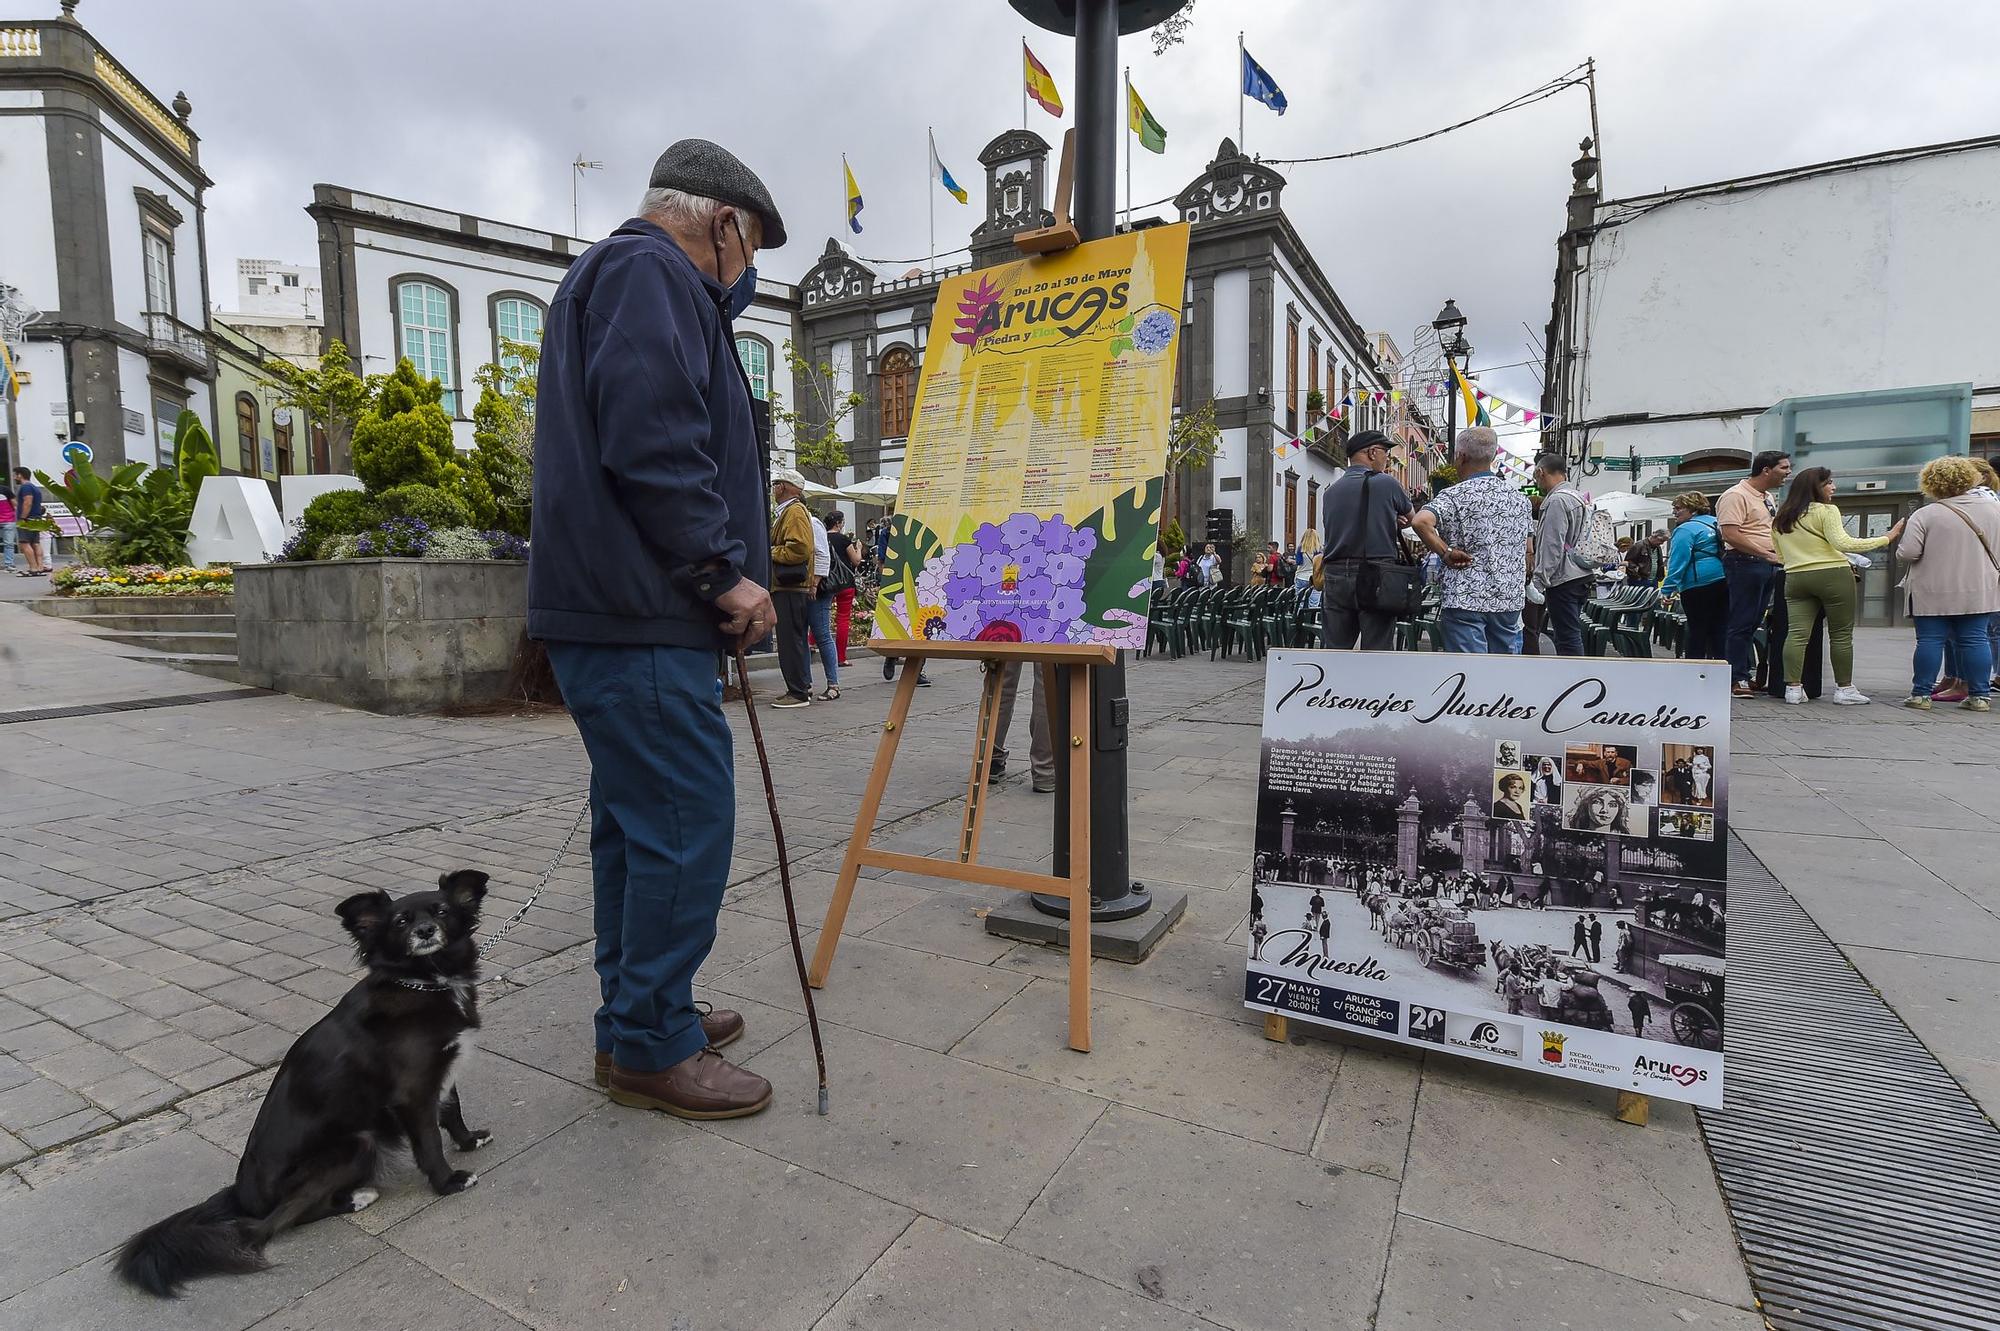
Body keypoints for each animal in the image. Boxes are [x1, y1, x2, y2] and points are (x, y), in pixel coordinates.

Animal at [118, 867, 496, 1287]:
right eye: (401, 922)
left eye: (442, 911)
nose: (426, 931)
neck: (426, 981)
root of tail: (241, 1193)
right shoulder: (413, 1092)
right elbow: (429, 1141)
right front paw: (448, 1182)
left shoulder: (441, 1074)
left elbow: (452, 1110)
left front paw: (468, 1140)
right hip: (358, 1144)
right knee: (271, 1225)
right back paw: (356, 1198)